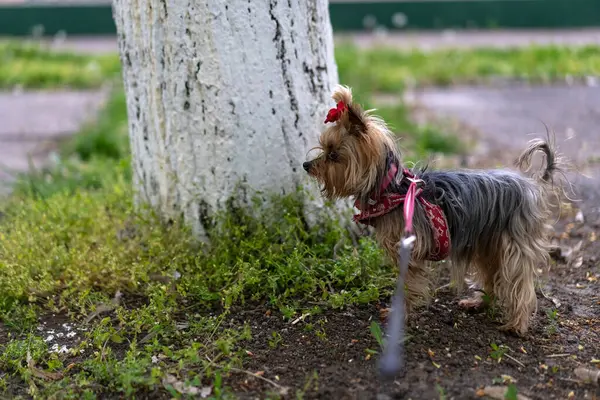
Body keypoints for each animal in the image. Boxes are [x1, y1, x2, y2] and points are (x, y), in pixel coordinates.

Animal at [304, 86, 564, 336]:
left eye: (333, 154)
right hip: (488, 241)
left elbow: (408, 285)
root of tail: (532, 185)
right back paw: (478, 303)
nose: (306, 165)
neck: (392, 191)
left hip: (514, 243)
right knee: (491, 275)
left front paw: (400, 315)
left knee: (520, 284)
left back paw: (517, 325)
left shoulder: (409, 249)